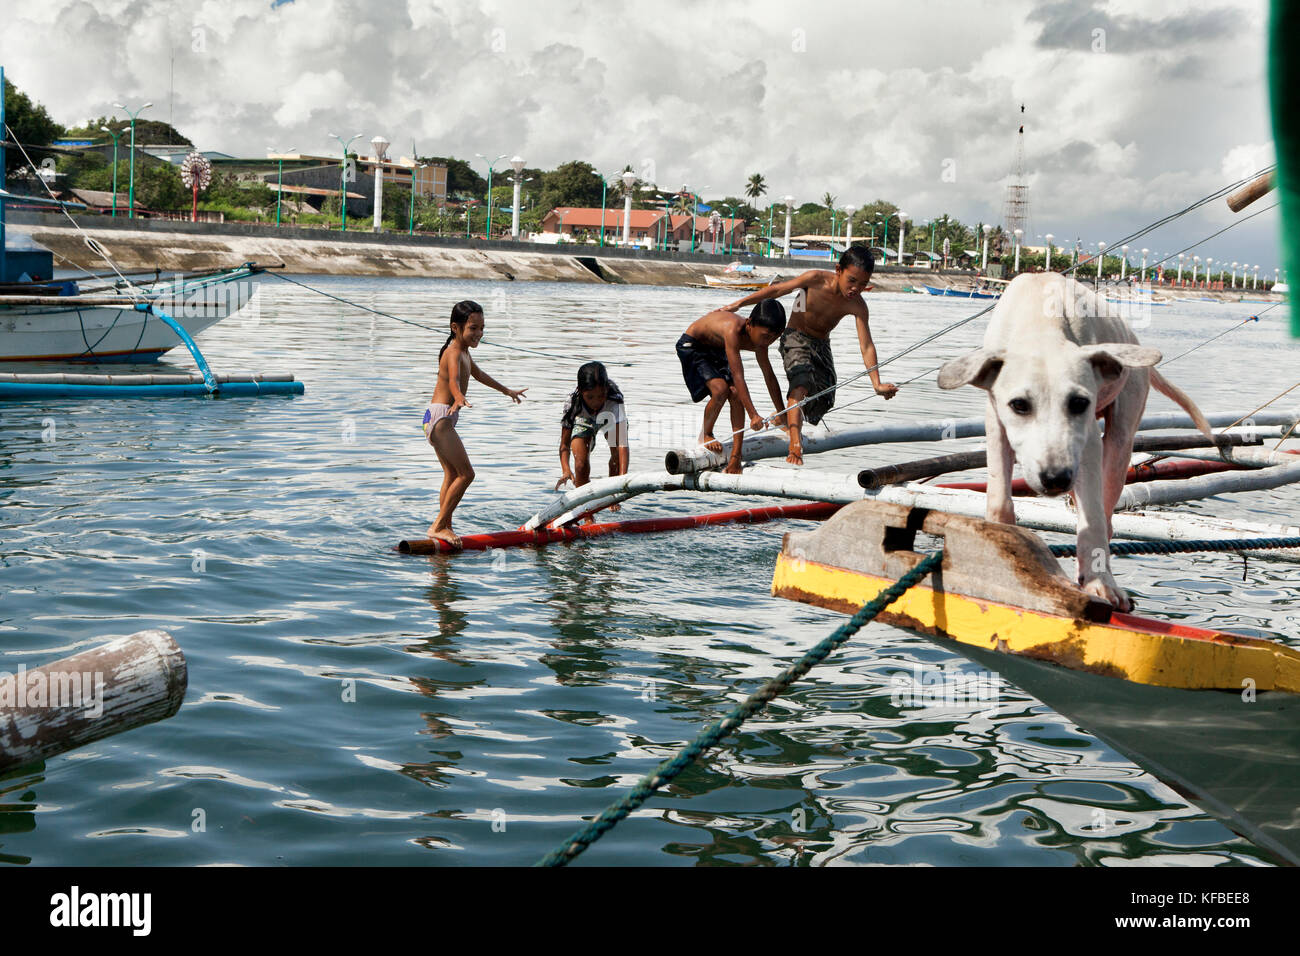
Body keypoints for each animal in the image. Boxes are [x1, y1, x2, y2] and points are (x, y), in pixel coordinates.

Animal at [941, 273, 1211, 608]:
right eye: (1019, 405)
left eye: (1079, 403)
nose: (1056, 478)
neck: (1040, 323)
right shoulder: (995, 419)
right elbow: (1000, 501)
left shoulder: (1089, 440)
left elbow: (1093, 519)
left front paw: (1100, 583)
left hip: (1122, 431)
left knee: (1107, 511)